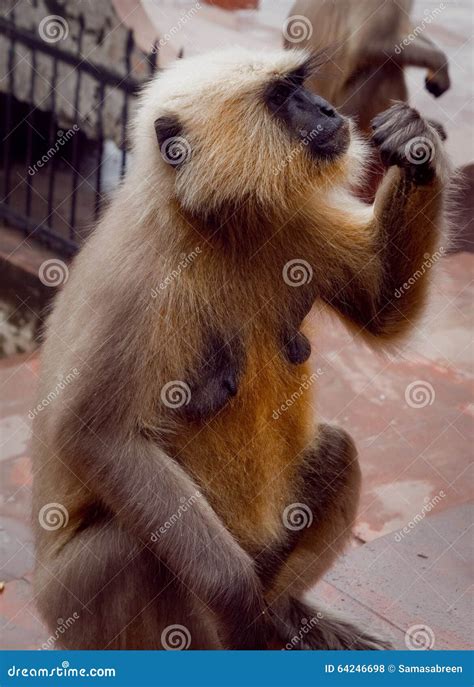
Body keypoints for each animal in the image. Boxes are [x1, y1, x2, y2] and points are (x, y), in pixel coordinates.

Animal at [31, 47, 450, 650]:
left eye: (300, 85)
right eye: (281, 98)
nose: (327, 109)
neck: (210, 224)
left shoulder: (288, 217)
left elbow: (381, 307)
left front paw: (416, 142)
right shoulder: (136, 279)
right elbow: (94, 433)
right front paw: (240, 600)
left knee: (338, 451)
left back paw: (288, 617)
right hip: (71, 606)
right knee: (128, 552)